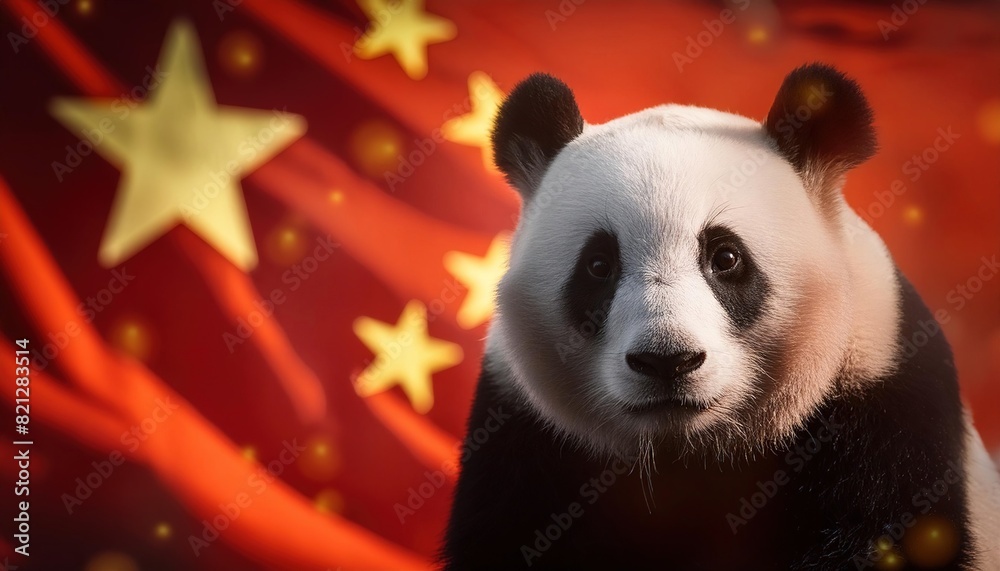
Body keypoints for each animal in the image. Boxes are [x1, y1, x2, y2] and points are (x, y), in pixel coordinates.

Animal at [441, 64, 1000, 570]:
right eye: (598, 265)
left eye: (726, 257)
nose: (667, 361)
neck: (689, 458)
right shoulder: (524, 436)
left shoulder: (883, 405)